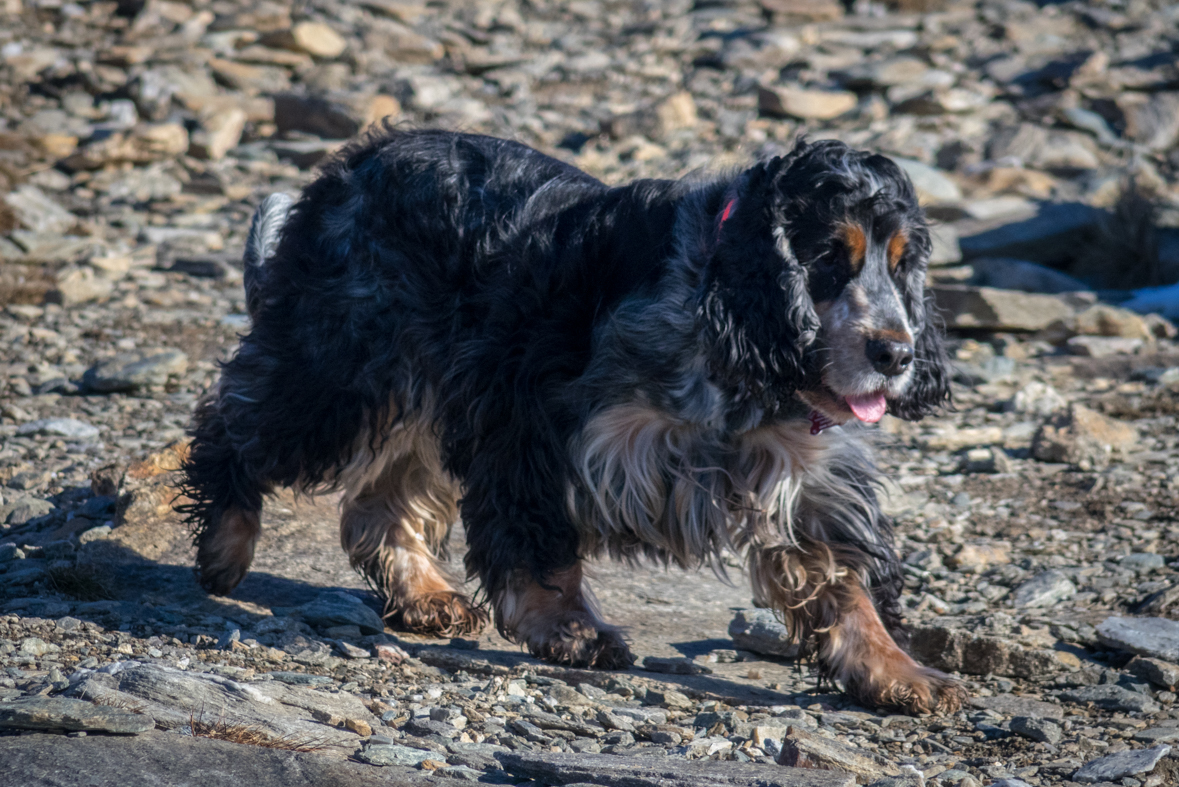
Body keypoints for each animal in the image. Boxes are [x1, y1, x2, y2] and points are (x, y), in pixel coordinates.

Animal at [179, 127, 962, 711]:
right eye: (828, 256)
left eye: (902, 265)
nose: (895, 353)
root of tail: (358, 160)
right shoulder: (537, 427)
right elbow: (542, 546)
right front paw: (570, 630)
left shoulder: (803, 474)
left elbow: (844, 583)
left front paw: (898, 672)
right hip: (341, 368)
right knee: (232, 421)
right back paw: (224, 547)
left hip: (425, 394)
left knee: (379, 498)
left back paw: (425, 596)